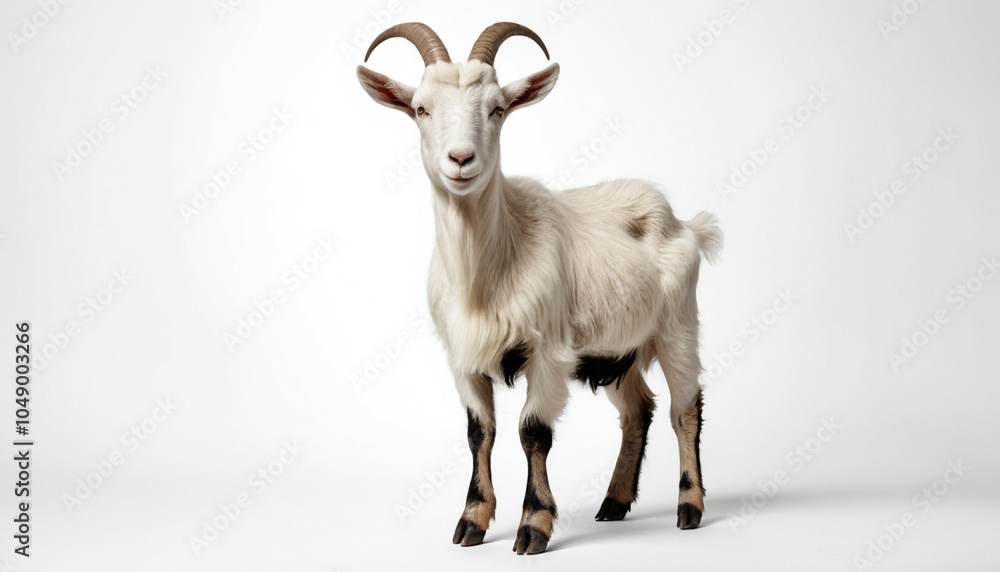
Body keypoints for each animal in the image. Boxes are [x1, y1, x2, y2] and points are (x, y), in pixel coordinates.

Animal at [357, 22, 722, 555]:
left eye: (497, 108)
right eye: (421, 108)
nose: (461, 159)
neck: (487, 272)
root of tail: (684, 223)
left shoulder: (548, 352)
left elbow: (533, 432)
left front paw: (533, 526)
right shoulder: (463, 358)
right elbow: (479, 432)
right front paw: (472, 520)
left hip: (678, 325)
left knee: (685, 407)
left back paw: (689, 506)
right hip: (617, 349)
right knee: (639, 409)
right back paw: (614, 502)